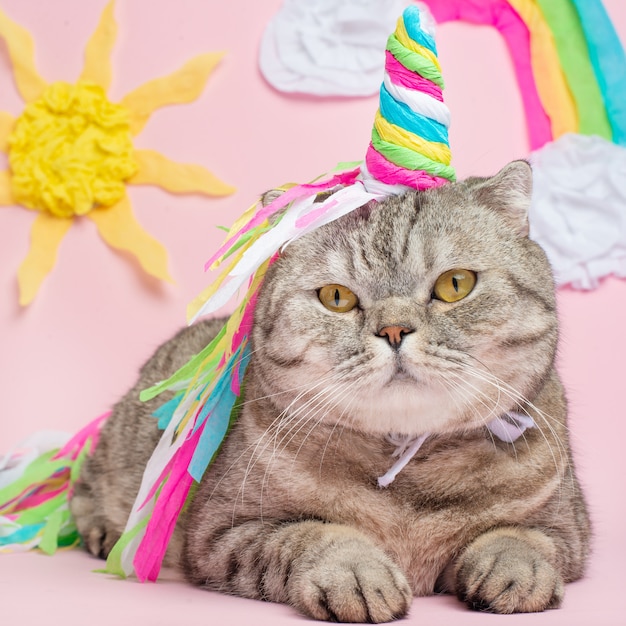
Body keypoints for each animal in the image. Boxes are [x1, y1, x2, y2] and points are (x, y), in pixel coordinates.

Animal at [70, 161, 588, 620]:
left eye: (455, 284)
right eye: (336, 297)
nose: (394, 329)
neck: (408, 485)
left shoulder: (568, 530)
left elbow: (522, 538)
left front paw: (513, 568)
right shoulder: (223, 532)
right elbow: (310, 535)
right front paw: (356, 573)